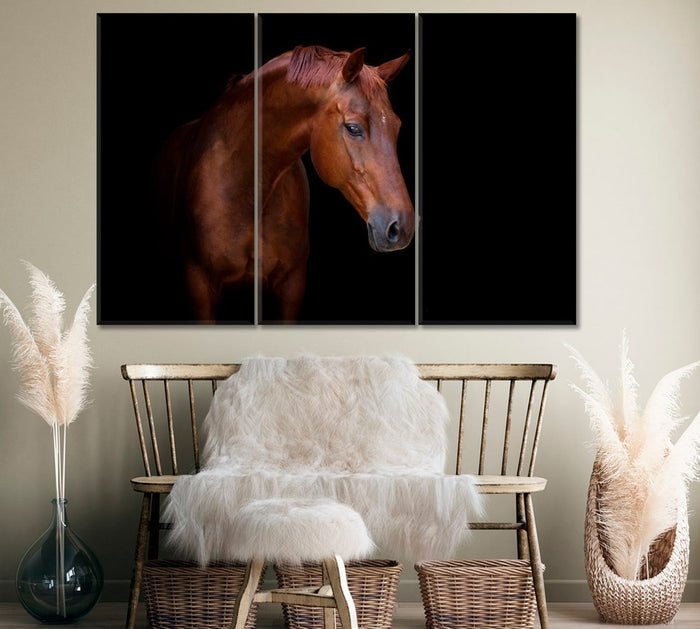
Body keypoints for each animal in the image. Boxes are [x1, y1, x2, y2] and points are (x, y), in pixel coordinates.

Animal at [157, 45, 414, 323]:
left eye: (397, 127)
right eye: (353, 127)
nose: (402, 227)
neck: (248, 190)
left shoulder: (291, 287)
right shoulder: (200, 287)